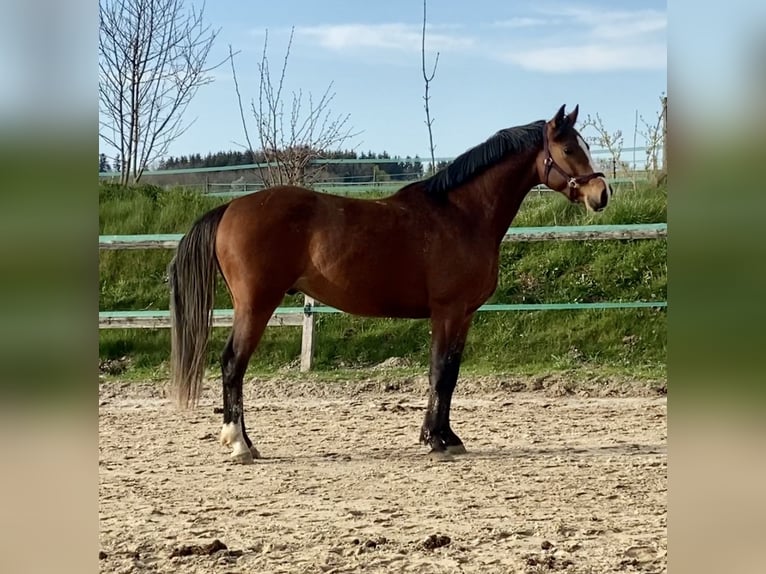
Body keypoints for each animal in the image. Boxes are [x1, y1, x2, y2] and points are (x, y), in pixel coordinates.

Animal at [168, 104, 612, 464]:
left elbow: (449, 374)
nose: (602, 193)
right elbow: (440, 373)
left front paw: (446, 437)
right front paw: (436, 441)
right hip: (257, 304)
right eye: (569, 149)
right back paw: (239, 444)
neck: (461, 214)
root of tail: (231, 207)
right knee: (232, 365)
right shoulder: (447, 311)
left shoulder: (463, 315)